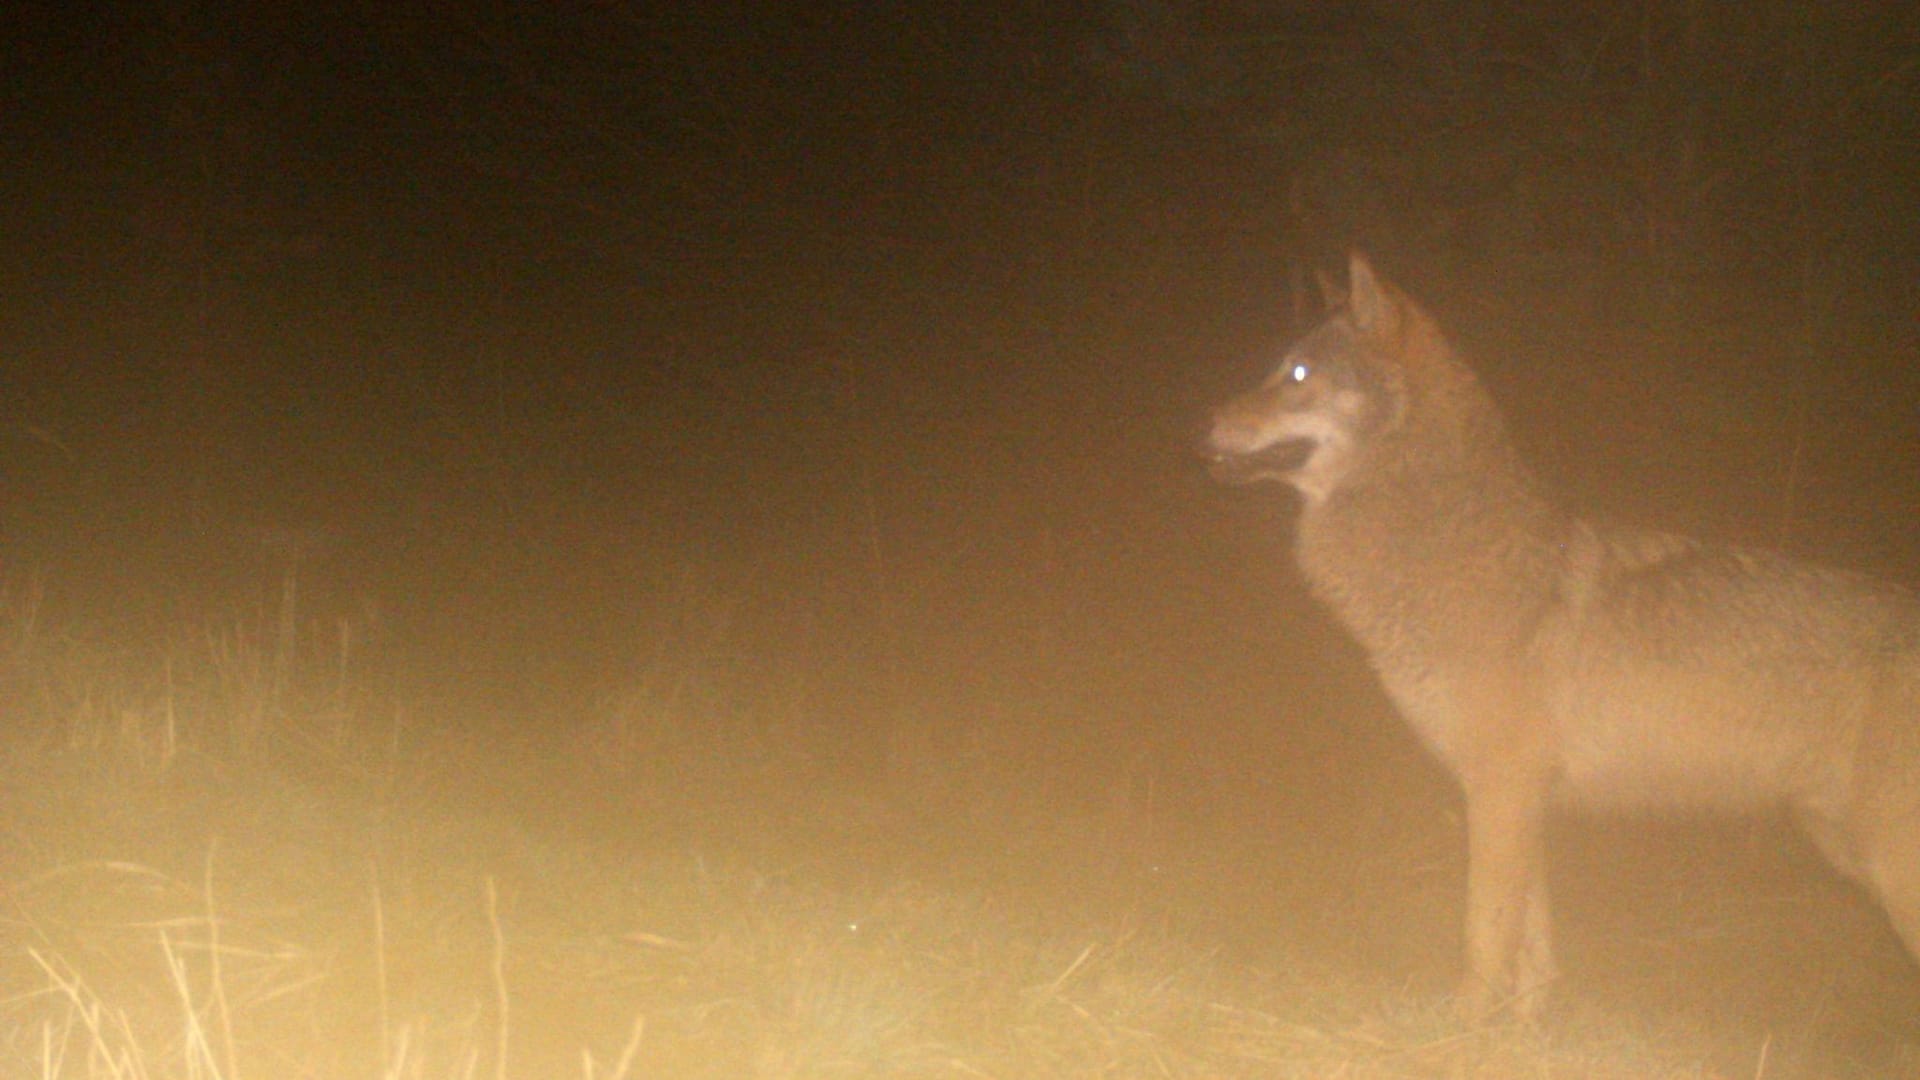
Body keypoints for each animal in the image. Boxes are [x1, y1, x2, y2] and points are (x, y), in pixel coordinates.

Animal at [1198, 251, 1920, 1014]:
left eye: (1298, 374)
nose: (1200, 424)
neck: (1448, 550)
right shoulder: (1520, 798)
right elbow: (1532, 941)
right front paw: (1527, 1022)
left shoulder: (1499, 788)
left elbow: (1483, 932)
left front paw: (1462, 1021)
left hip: (1891, 870)